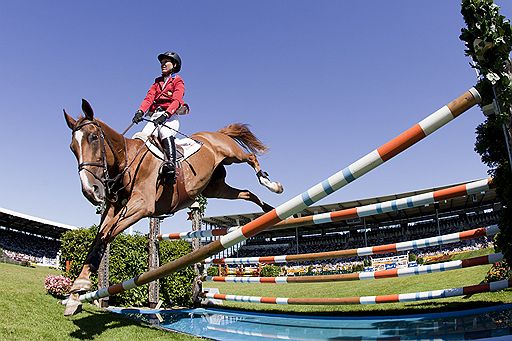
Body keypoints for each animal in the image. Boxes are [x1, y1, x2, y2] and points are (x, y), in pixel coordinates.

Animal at [63, 98, 284, 314]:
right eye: (72, 148)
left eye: (93, 138)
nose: (90, 190)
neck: (127, 162)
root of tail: (214, 134)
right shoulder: (113, 208)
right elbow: (101, 235)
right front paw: (76, 292)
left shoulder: (141, 206)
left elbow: (107, 233)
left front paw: (81, 284)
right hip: (215, 188)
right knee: (246, 193)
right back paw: (268, 210)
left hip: (231, 154)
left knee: (251, 157)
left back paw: (272, 185)